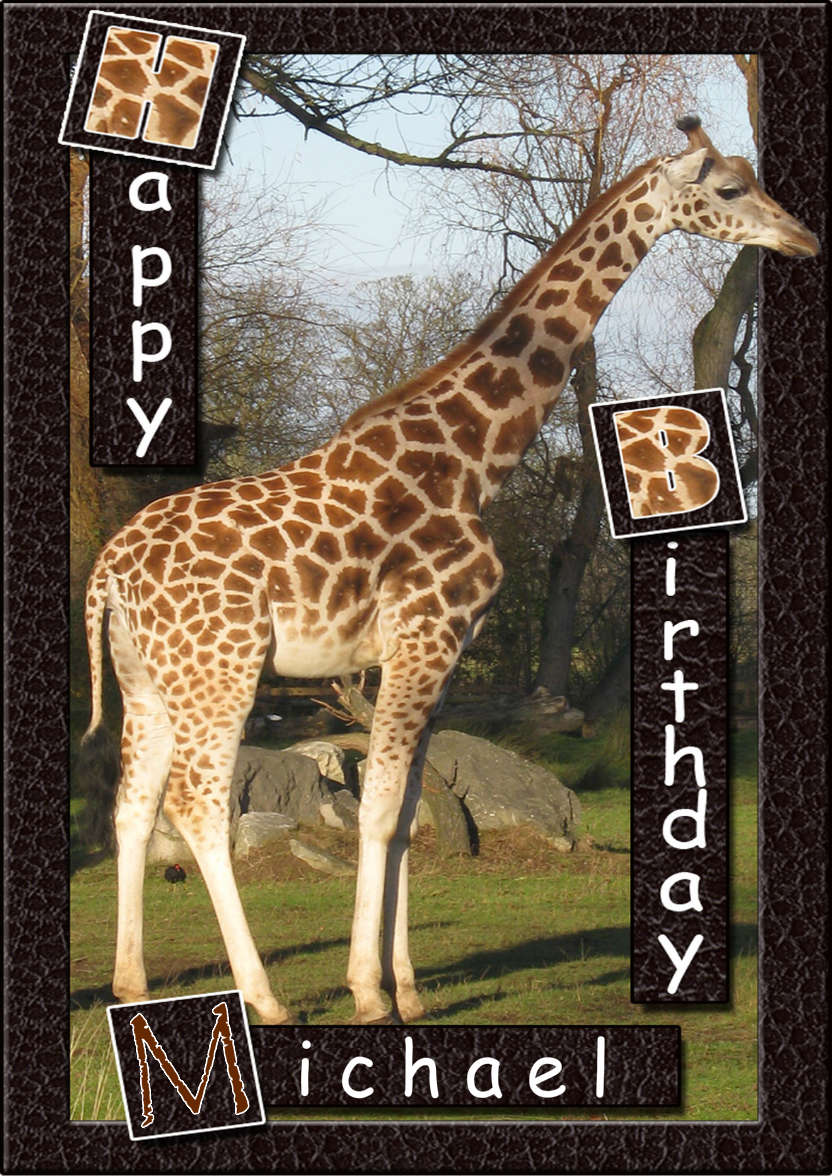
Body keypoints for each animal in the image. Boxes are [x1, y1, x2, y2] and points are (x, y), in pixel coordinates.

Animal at [81, 116, 818, 1025]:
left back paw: (132, 986)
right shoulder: (423, 637)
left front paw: (409, 991)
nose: (803, 238)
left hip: (148, 676)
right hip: (220, 669)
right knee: (199, 805)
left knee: (132, 804)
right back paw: (266, 1000)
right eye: (728, 188)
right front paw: (368, 993)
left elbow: (405, 818)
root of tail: (108, 570)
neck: (473, 460)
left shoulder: (443, 651)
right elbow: (375, 813)